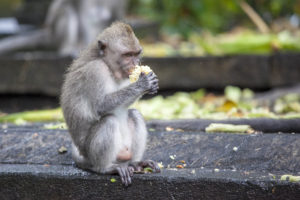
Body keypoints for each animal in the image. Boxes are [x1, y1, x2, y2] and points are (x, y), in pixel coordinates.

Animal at [59, 22, 161, 186]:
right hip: (91, 153)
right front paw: (143, 84)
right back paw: (105, 168)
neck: (108, 66)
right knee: (109, 121)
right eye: (127, 55)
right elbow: (101, 105)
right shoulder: (95, 71)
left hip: (123, 150)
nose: (136, 63)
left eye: (136, 53)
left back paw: (135, 163)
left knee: (134, 114)